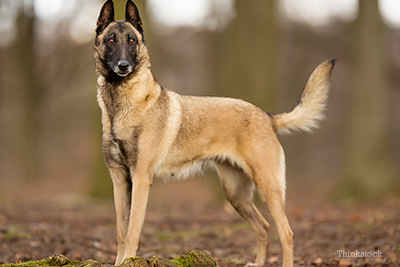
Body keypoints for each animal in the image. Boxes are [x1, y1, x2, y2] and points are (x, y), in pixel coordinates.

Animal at [94, 1, 334, 266]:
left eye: (132, 41)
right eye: (111, 40)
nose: (123, 66)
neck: (122, 103)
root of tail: (266, 116)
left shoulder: (141, 179)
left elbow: (132, 231)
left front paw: (128, 260)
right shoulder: (119, 180)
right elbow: (120, 231)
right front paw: (119, 262)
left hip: (267, 187)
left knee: (287, 233)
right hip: (235, 194)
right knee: (264, 227)